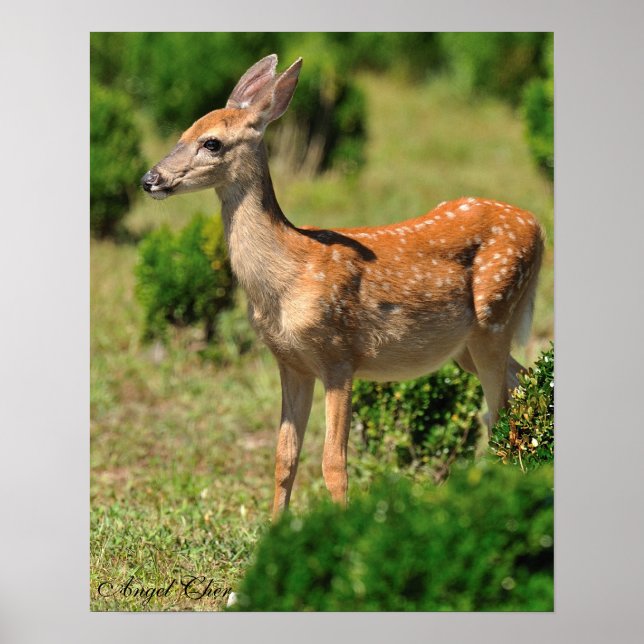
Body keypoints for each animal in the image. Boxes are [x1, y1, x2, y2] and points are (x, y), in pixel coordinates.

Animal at [141, 54, 544, 519]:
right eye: (183, 132)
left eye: (212, 143)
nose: (150, 179)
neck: (287, 275)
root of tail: (538, 227)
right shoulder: (291, 363)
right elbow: (284, 458)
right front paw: (273, 529)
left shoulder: (339, 355)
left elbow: (333, 464)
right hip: (466, 347)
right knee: (522, 380)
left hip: (494, 317)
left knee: (500, 411)